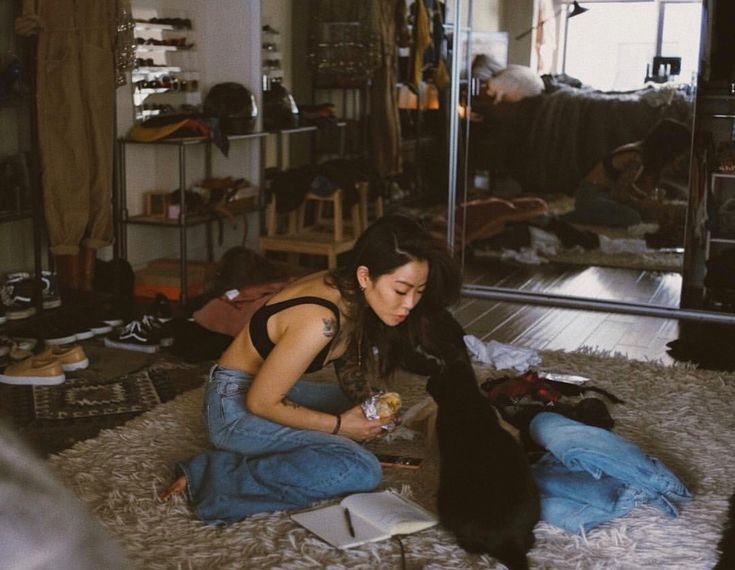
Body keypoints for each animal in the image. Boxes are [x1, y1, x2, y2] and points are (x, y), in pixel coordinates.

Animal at [428, 358, 544, 564]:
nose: (426, 383)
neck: (465, 398)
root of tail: (508, 540)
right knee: (530, 541)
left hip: (445, 503)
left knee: (470, 546)